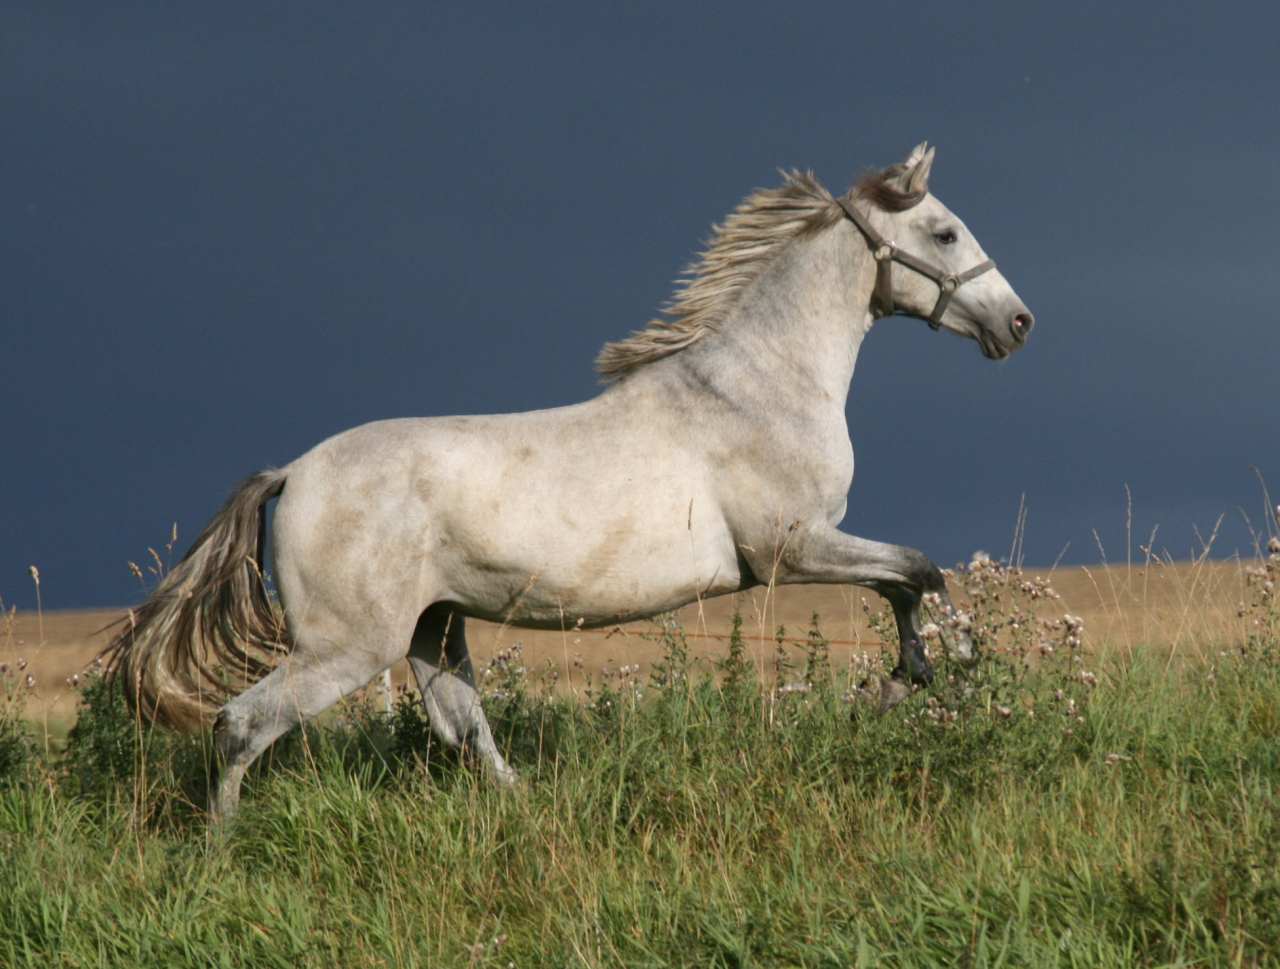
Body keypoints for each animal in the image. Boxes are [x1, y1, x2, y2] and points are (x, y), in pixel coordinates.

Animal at [104, 141, 1034, 814]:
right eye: (945, 232)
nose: (1018, 323)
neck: (756, 386)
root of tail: (292, 474)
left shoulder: (807, 548)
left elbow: (906, 580)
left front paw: (907, 677)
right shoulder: (791, 549)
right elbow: (917, 570)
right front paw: (924, 673)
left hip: (432, 629)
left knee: (465, 732)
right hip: (349, 645)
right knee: (241, 725)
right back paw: (219, 855)